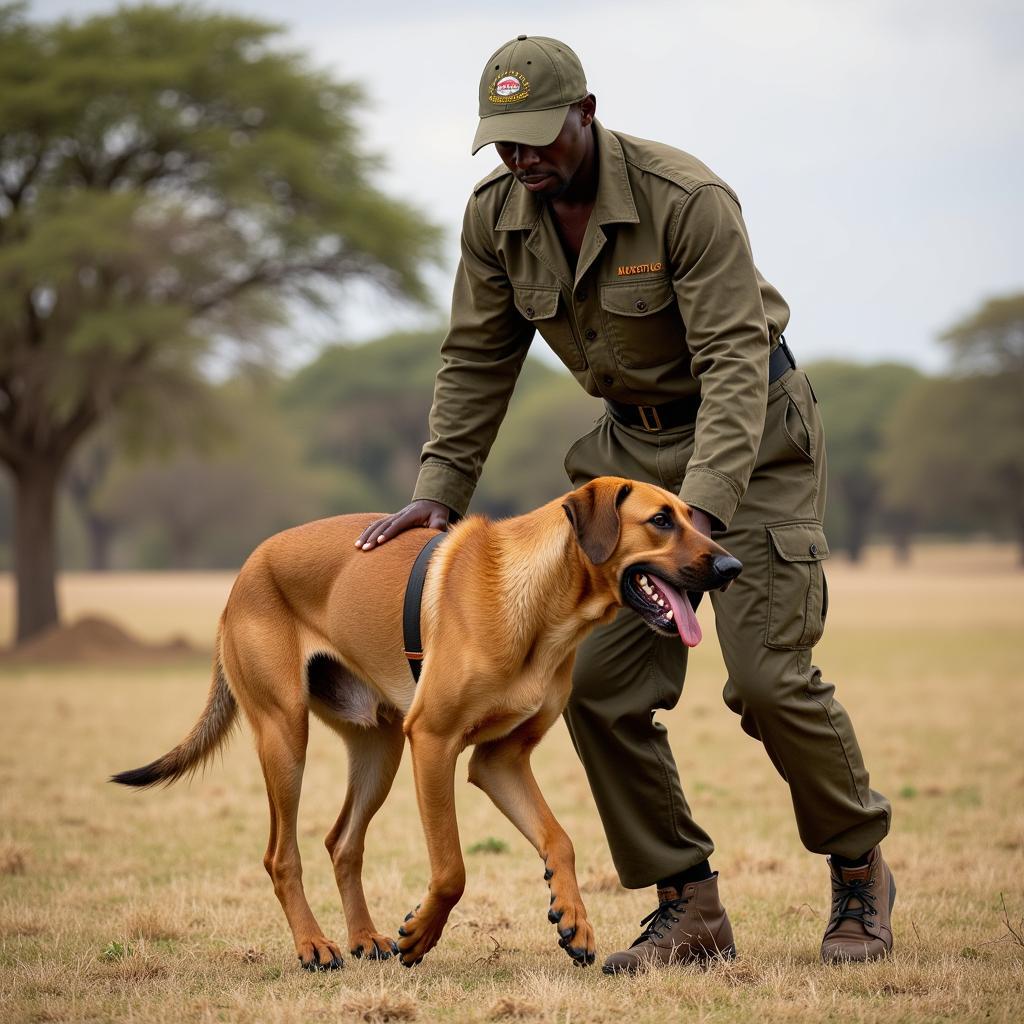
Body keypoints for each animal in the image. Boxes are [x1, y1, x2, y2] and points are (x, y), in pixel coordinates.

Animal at [112, 475, 741, 970]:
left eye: (691, 517)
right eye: (660, 521)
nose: (730, 566)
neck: (541, 603)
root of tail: (242, 575)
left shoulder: (499, 760)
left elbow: (558, 839)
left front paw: (573, 917)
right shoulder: (435, 743)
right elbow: (452, 867)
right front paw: (421, 934)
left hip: (379, 747)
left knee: (342, 841)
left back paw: (364, 937)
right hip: (286, 736)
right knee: (281, 854)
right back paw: (315, 946)